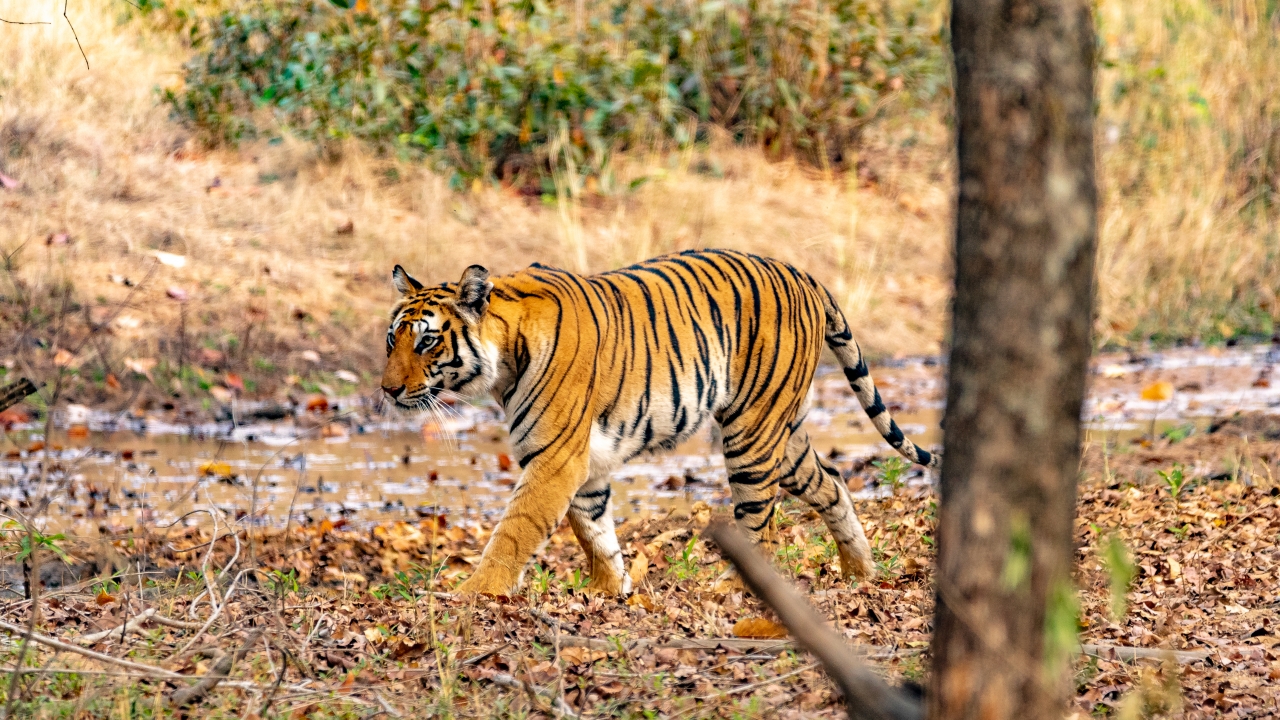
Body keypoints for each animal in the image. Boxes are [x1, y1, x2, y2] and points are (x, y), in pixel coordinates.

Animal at [378, 245, 942, 594]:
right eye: (391, 339)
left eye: (427, 341)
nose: (387, 390)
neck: (503, 359)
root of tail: (802, 274)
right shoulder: (585, 463)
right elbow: (594, 533)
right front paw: (609, 593)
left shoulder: (556, 458)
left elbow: (514, 532)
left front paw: (473, 595)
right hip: (785, 435)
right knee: (834, 482)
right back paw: (860, 572)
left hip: (752, 435)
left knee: (759, 521)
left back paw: (732, 591)